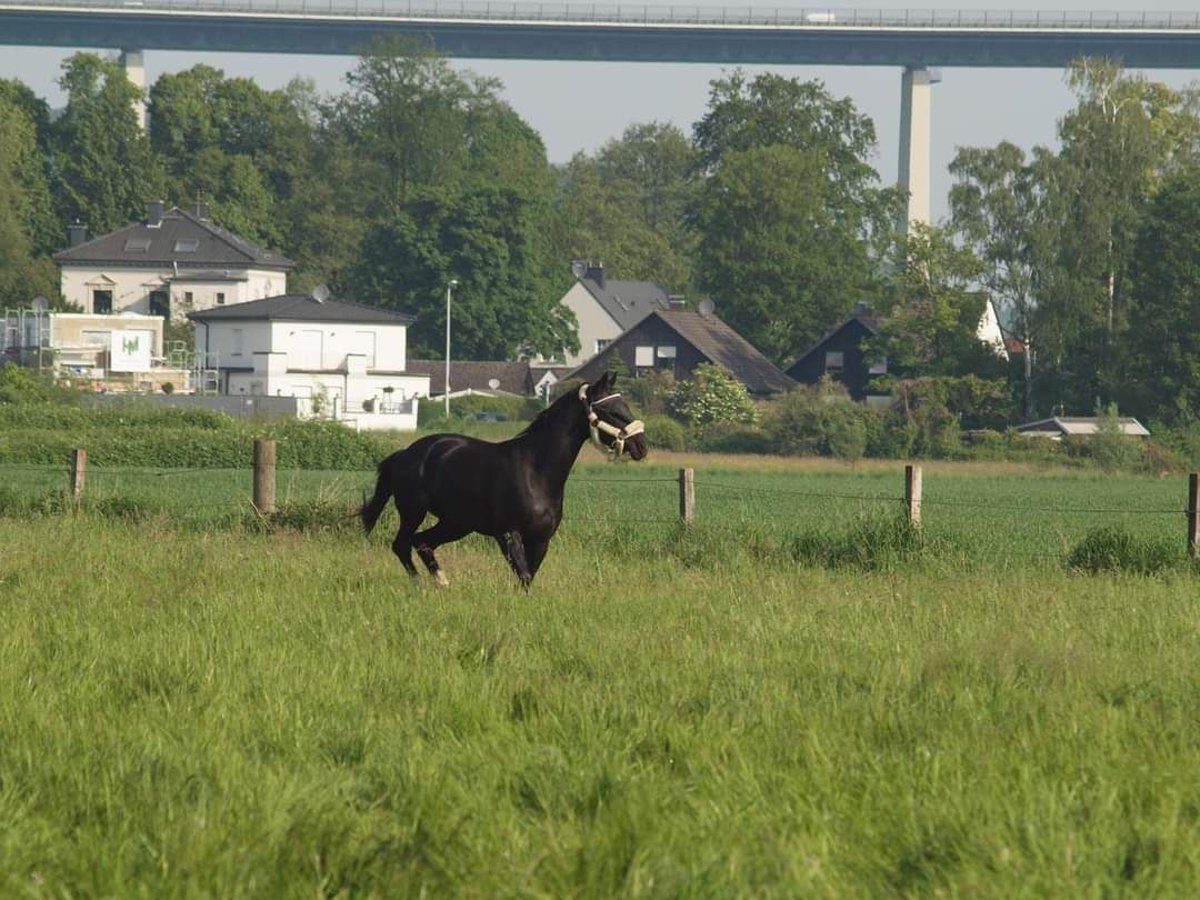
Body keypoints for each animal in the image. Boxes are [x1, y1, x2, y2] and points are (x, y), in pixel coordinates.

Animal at [357, 369, 648, 588]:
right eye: (610, 410)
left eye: (625, 405)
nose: (641, 446)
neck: (535, 472)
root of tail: (405, 454)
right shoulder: (508, 534)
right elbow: (524, 575)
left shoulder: (541, 539)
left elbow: (528, 577)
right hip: (414, 512)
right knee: (402, 545)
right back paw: (420, 586)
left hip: (456, 523)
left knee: (422, 542)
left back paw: (443, 583)